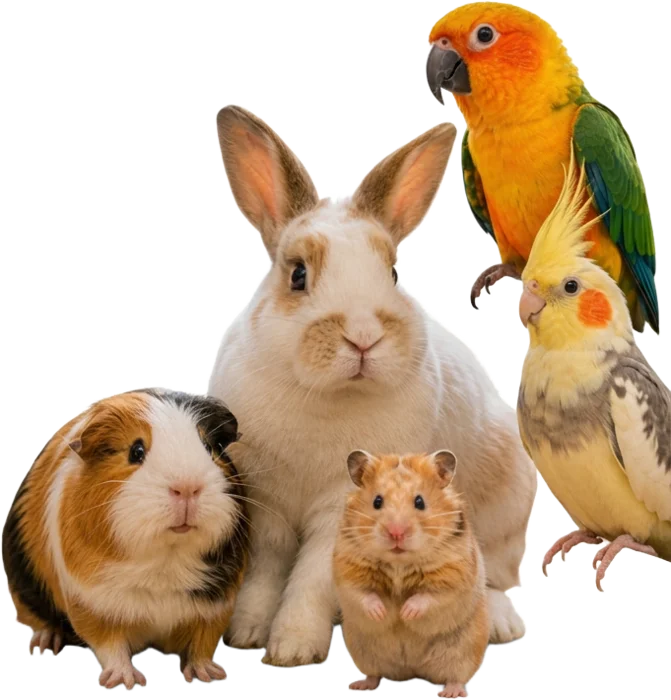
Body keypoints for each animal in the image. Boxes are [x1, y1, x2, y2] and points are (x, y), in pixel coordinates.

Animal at [1, 387, 250, 690]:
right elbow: (110, 645)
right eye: (136, 451)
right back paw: (45, 643)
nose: (187, 488)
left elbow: (202, 644)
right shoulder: (92, 605)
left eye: (209, 448)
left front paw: (209, 674)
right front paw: (125, 681)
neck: (165, 561)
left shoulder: (217, 607)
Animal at [208, 104, 537, 668]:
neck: (323, 399)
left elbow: (311, 580)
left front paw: (293, 647)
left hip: (505, 515)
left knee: (493, 578)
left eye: (392, 273)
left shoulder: (339, 513)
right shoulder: (268, 507)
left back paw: (499, 623)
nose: (363, 337)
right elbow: (266, 574)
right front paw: (248, 632)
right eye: (297, 275)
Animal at [333, 450, 489, 699]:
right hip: (362, 651)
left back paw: (449, 692)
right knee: (374, 674)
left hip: (463, 649)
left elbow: (430, 596)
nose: (396, 533)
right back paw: (359, 685)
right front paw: (382, 613)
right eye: (377, 501)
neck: (400, 563)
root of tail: (412, 670)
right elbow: (362, 593)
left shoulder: (453, 573)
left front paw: (405, 613)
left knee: (455, 676)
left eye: (420, 502)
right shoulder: (347, 566)